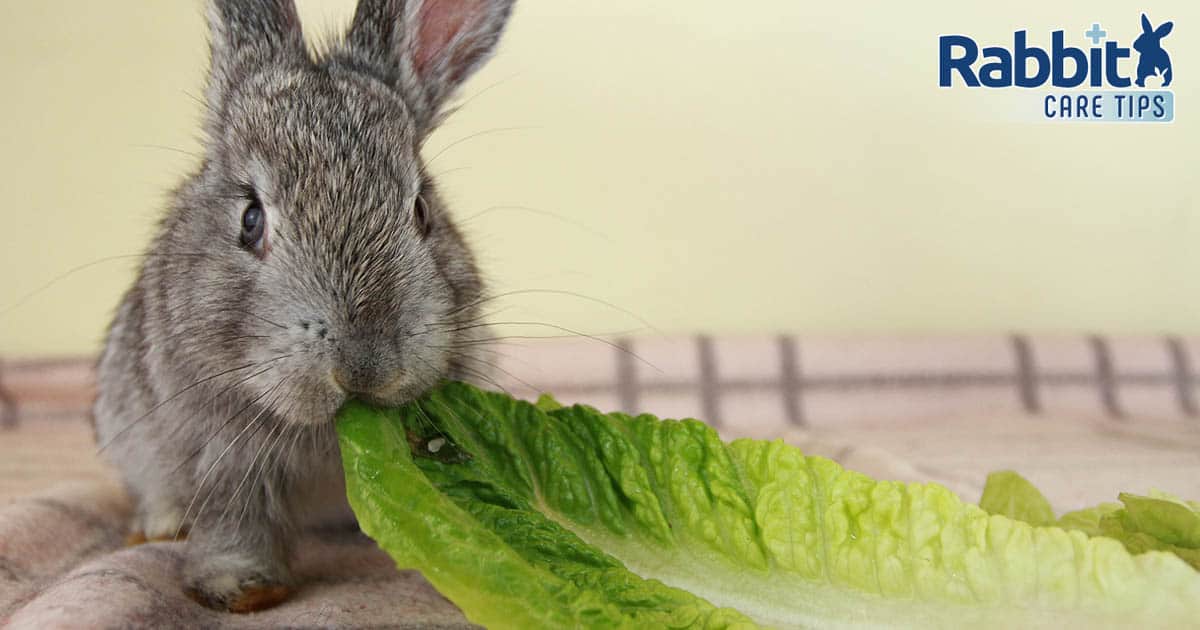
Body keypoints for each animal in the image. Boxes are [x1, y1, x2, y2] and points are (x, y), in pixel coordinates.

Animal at [88, 0, 511, 612]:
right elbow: (234, 518)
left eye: (422, 211)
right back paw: (160, 526)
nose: (365, 365)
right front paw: (243, 591)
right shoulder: (219, 447)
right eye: (251, 219)